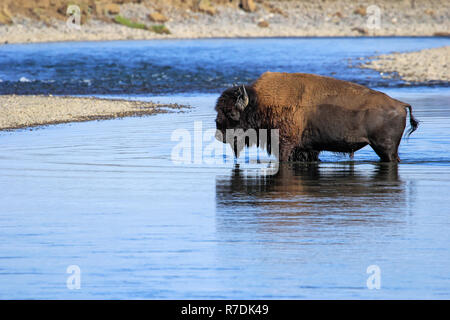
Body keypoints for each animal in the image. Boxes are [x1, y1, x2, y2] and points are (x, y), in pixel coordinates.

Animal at [214, 72, 418, 162]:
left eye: (231, 113)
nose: (218, 135)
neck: (261, 103)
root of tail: (400, 104)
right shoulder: (307, 150)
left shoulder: (285, 145)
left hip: (385, 149)